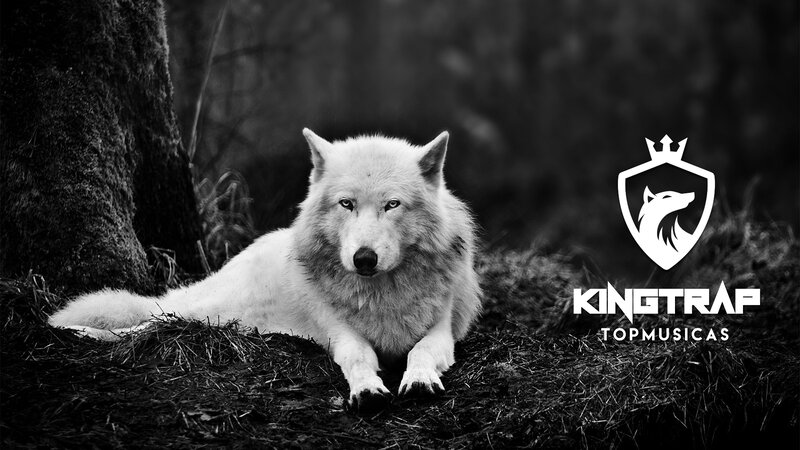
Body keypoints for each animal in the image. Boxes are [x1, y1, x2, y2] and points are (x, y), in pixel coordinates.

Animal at [49, 129, 482, 412]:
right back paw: (76, 330)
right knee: (148, 322)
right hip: (206, 312)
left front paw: (419, 379)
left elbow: (421, 351)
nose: (364, 259)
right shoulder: (340, 333)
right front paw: (367, 390)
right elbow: (358, 356)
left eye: (392, 205)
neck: (381, 294)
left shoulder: (442, 331)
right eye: (346, 204)